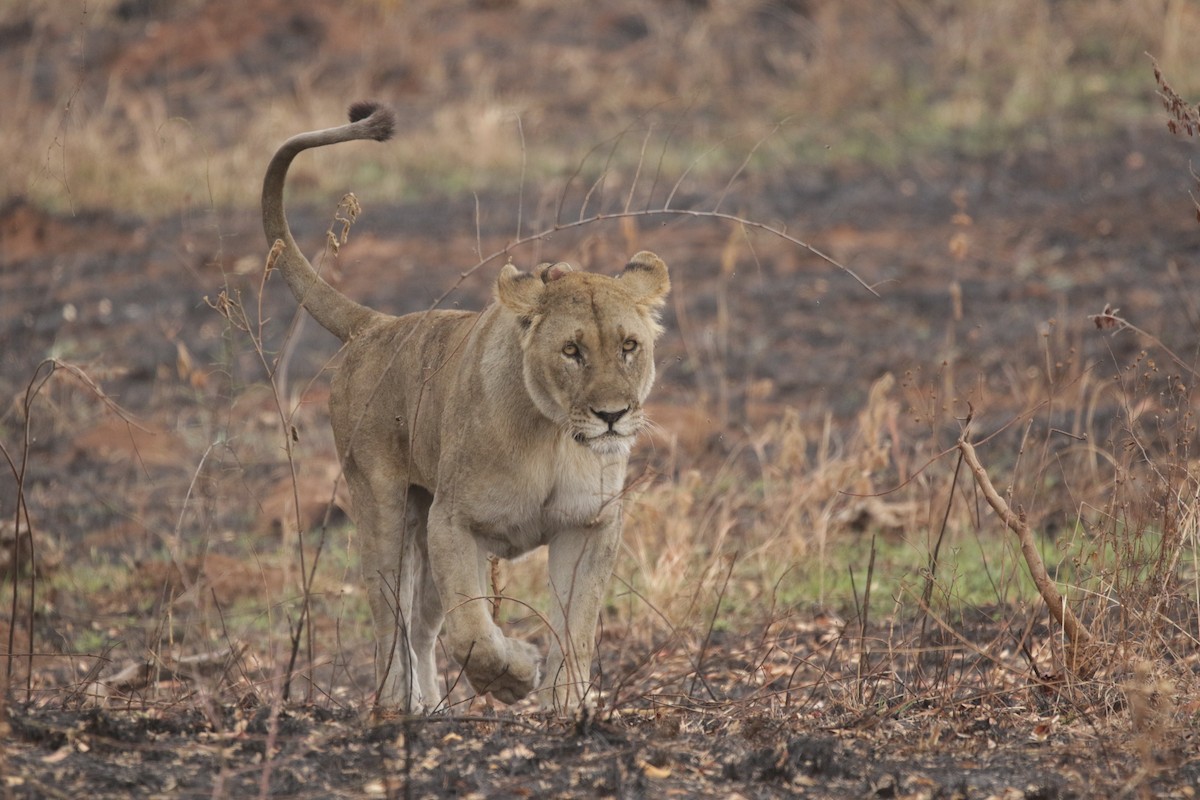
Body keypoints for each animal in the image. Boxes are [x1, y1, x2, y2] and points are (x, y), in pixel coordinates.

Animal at [261, 102, 670, 713]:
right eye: (571, 351)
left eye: (628, 346)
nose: (612, 415)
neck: (555, 437)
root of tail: (377, 325)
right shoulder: (454, 522)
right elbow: (472, 631)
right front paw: (516, 675)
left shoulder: (591, 524)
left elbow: (576, 626)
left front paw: (566, 704)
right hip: (388, 510)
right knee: (390, 619)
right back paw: (397, 703)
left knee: (420, 626)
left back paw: (430, 706)